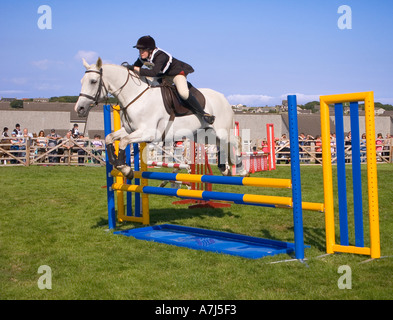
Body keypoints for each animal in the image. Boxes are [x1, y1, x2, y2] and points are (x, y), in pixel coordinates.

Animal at [74, 57, 247, 180]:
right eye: (81, 81)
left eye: (93, 81)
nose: (79, 108)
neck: (135, 96)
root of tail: (224, 99)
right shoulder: (130, 130)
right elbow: (110, 138)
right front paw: (119, 165)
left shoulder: (148, 133)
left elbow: (123, 142)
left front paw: (126, 169)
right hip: (204, 135)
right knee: (222, 145)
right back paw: (225, 169)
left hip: (222, 130)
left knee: (235, 141)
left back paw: (241, 169)